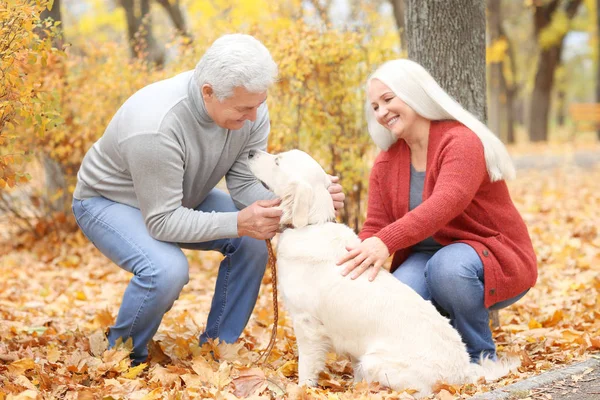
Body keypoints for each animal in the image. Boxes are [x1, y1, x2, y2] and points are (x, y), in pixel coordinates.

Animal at [246, 149, 516, 396]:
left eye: (277, 161)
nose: (249, 152)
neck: (311, 224)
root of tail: (462, 371)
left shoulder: (307, 324)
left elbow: (306, 364)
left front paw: (302, 388)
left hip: (376, 361)